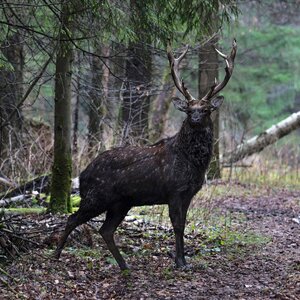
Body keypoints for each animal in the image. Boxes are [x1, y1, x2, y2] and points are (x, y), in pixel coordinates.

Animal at [53, 39, 237, 270]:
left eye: (205, 110)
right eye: (188, 109)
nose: (194, 119)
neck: (192, 163)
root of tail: (83, 174)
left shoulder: (188, 193)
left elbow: (183, 224)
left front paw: (184, 261)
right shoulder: (173, 190)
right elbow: (177, 225)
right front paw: (179, 262)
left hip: (121, 202)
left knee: (105, 230)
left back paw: (124, 265)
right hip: (97, 196)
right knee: (73, 219)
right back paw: (56, 255)